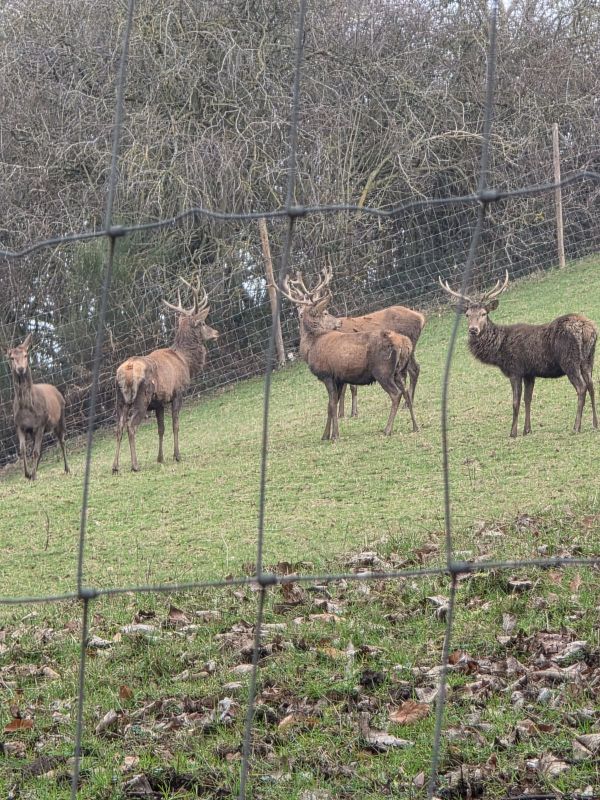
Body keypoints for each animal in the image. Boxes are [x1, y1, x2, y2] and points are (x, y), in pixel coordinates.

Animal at [6, 333, 69, 480]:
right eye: (11, 357)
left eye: (26, 355)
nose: (20, 369)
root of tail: (56, 390)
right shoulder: (19, 425)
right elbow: (23, 450)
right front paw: (28, 474)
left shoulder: (41, 423)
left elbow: (35, 451)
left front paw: (33, 474)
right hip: (35, 431)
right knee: (42, 448)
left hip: (60, 417)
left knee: (62, 440)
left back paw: (67, 468)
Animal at [111, 276, 219, 473]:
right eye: (202, 323)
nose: (216, 332)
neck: (185, 362)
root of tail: (127, 370)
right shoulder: (178, 393)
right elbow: (175, 424)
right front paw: (177, 455)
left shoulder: (159, 402)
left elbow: (161, 428)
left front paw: (160, 458)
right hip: (141, 398)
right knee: (131, 426)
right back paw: (135, 465)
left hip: (120, 401)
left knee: (119, 427)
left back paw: (115, 467)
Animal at [279, 274, 418, 440]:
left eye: (325, 311)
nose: (338, 321)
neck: (311, 346)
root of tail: (405, 343)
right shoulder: (338, 378)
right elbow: (330, 404)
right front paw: (325, 435)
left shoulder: (327, 374)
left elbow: (332, 404)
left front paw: (335, 436)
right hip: (398, 372)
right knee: (406, 391)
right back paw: (415, 426)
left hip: (383, 371)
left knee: (396, 394)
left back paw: (387, 429)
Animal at [439, 270, 598, 437]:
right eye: (467, 315)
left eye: (483, 313)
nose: (473, 330)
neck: (498, 351)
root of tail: (588, 330)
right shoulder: (529, 373)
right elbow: (528, 399)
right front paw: (527, 429)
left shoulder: (514, 370)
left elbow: (515, 402)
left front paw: (513, 432)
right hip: (588, 359)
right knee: (591, 385)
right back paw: (595, 423)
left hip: (569, 360)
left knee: (581, 387)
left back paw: (576, 426)